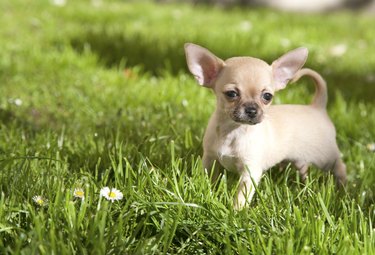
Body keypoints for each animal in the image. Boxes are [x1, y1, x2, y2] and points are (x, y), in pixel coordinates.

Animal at [184, 42, 346, 209]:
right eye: (231, 94)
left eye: (267, 96)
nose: (252, 110)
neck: (233, 130)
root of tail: (317, 107)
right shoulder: (210, 159)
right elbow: (206, 178)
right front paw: (203, 191)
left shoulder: (250, 173)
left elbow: (241, 197)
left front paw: (236, 212)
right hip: (300, 158)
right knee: (304, 168)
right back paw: (305, 185)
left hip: (325, 158)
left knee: (340, 167)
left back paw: (342, 189)